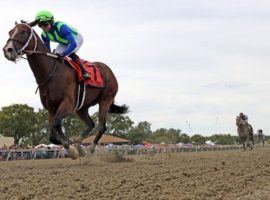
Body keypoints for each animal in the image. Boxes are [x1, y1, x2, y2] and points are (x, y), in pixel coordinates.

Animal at [2, 21, 129, 158]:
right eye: (10, 32)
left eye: (23, 32)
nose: (7, 50)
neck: (51, 71)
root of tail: (109, 70)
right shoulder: (51, 107)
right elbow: (52, 134)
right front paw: (72, 147)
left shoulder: (68, 103)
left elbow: (57, 123)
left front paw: (70, 148)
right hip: (82, 108)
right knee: (91, 124)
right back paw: (80, 146)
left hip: (105, 100)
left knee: (101, 126)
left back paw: (90, 149)